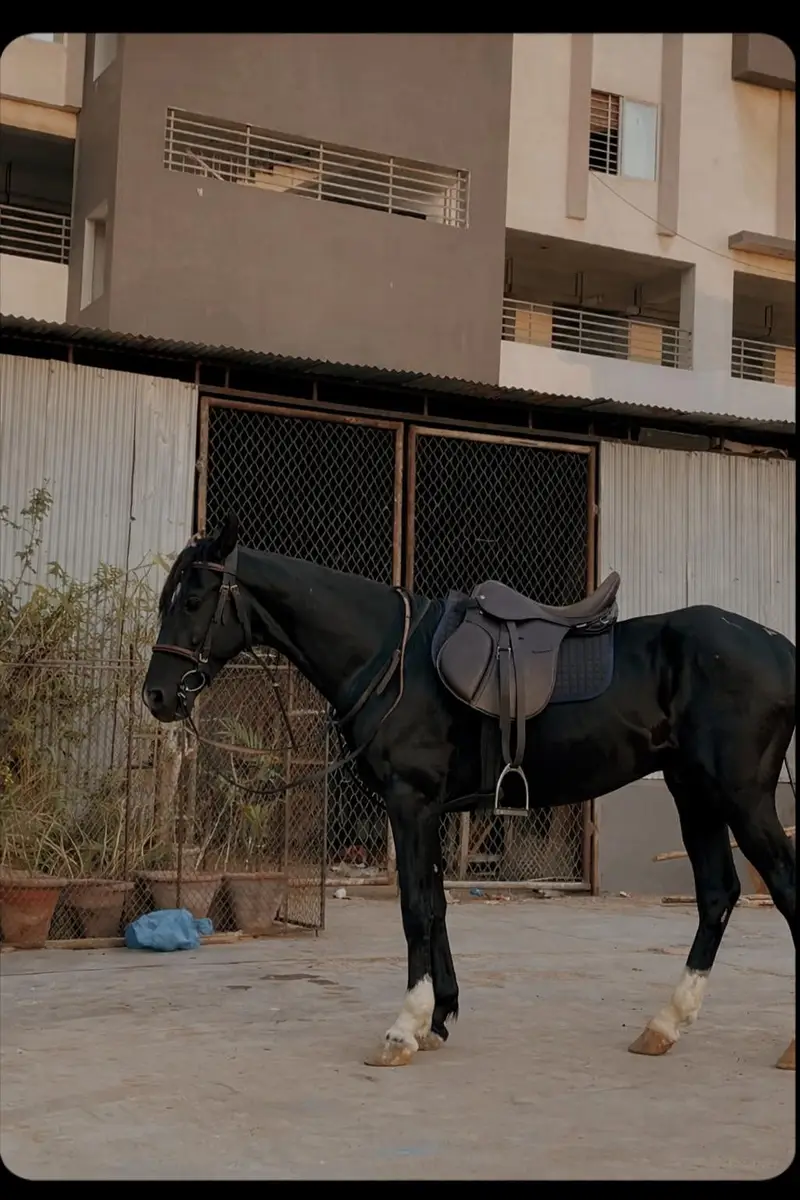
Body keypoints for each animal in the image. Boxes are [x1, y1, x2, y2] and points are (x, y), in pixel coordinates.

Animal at [142, 514, 796, 1071]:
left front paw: (404, 1029)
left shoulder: (410, 804)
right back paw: (663, 1025)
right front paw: (439, 1018)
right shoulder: (428, 811)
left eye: (193, 600)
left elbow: (415, 908)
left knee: (779, 888)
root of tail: (778, 646)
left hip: (741, 796)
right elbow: (437, 905)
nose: (157, 696)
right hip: (695, 794)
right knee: (717, 894)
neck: (390, 660)